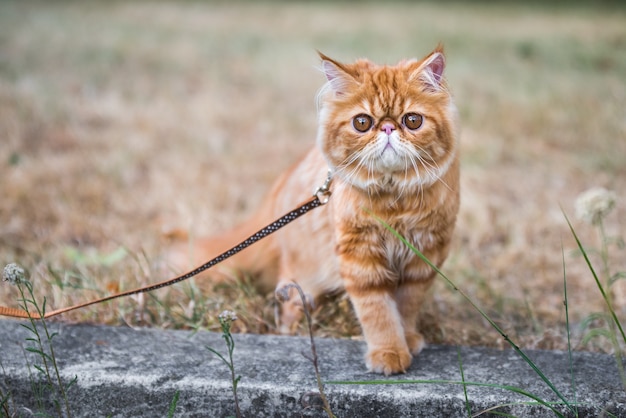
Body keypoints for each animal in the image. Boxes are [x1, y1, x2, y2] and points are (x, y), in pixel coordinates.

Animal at [171, 45, 458, 376]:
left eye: (412, 120)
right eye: (362, 123)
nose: (387, 127)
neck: (394, 200)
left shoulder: (423, 258)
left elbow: (407, 305)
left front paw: (407, 339)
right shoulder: (360, 257)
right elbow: (379, 311)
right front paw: (389, 353)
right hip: (301, 284)